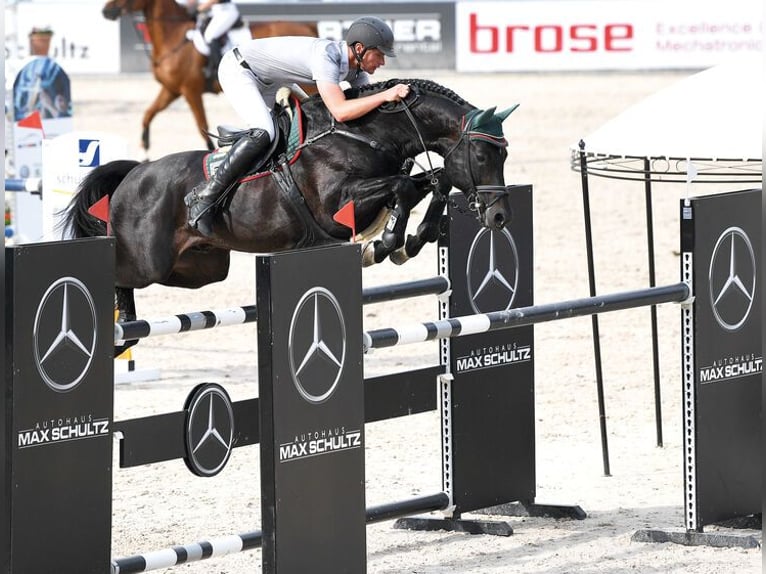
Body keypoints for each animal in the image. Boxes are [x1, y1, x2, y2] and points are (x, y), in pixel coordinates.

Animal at [63, 78, 518, 354]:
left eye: (505, 154)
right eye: (482, 155)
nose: (499, 217)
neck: (367, 134)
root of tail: (133, 174)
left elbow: (432, 182)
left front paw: (415, 237)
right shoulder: (336, 205)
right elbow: (404, 188)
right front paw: (385, 245)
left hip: (201, 269)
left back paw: (127, 329)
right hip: (148, 261)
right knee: (119, 272)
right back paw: (118, 329)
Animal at [102, 0, 318, 153]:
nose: (106, 11)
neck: (174, 36)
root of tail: (306, 27)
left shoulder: (190, 91)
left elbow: (202, 126)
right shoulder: (171, 90)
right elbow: (148, 114)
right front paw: (145, 149)